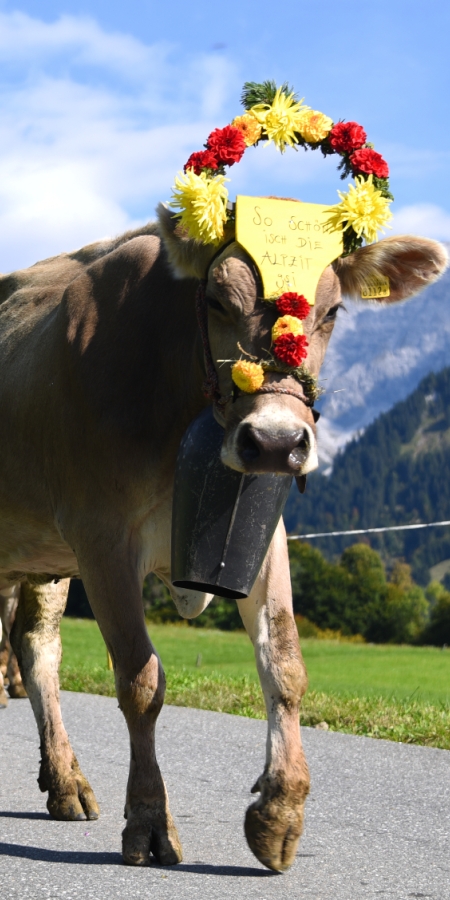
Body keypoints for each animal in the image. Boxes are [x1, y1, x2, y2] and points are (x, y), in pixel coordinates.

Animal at [0, 204, 446, 872]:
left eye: (333, 312)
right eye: (216, 299)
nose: (276, 441)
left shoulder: (264, 534)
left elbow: (284, 664)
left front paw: (280, 812)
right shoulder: (101, 536)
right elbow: (140, 680)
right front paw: (150, 820)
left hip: (43, 557)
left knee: (35, 648)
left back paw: (65, 781)